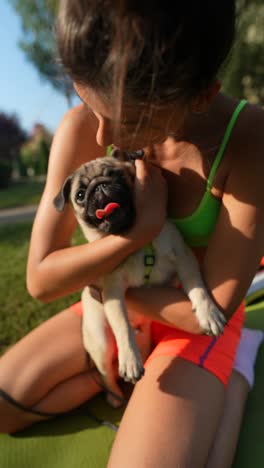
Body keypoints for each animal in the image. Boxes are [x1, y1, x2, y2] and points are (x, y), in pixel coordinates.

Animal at [53, 151, 225, 402]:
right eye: (80, 195)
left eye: (116, 175)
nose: (99, 187)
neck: (137, 244)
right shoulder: (113, 291)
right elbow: (122, 325)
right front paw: (129, 361)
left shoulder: (183, 258)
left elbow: (197, 288)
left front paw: (208, 313)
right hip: (100, 343)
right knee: (106, 374)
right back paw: (116, 396)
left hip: (143, 339)